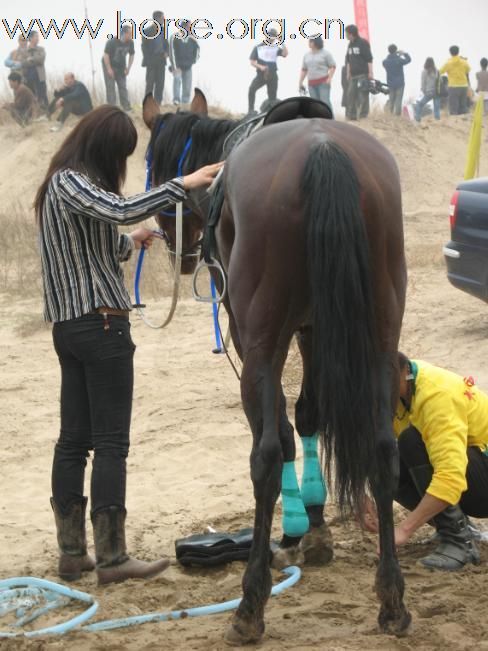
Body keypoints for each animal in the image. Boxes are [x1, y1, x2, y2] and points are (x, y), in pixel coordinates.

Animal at [143, 91, 410, 648]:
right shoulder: (313, 329)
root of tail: (323, 148)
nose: (179, 251)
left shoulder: (251, 336)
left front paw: (295, 528)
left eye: (153, 164)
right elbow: (308, 415)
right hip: (379, 333)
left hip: (263, 339)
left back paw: (250, 606)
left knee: (265, 455)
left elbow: (282, 433)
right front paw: (316, 523)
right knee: (383, 449)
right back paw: (392, 599)